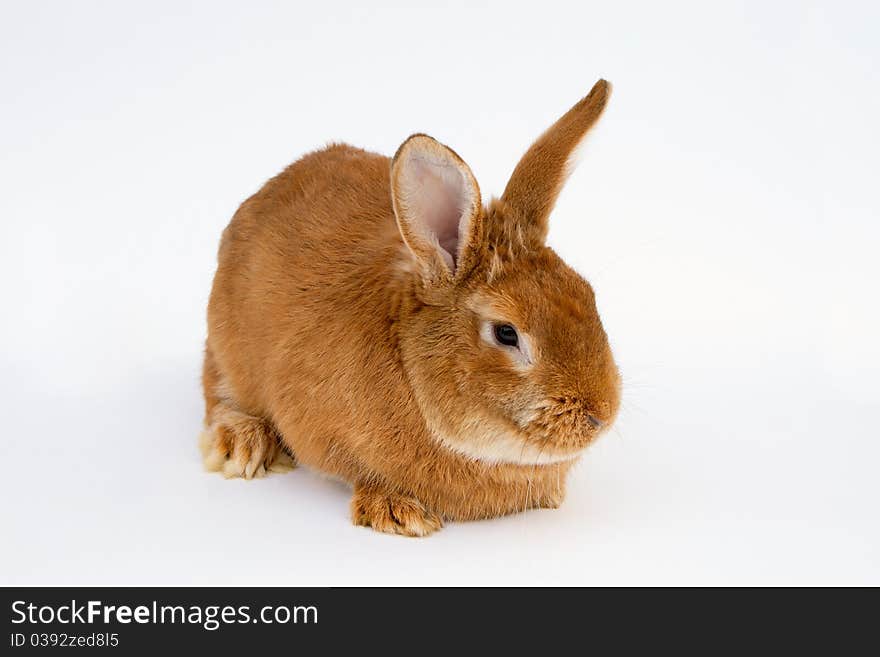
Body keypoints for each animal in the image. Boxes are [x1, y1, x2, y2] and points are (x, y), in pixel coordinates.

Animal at [201, 79, 620, 536]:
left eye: (588, 294)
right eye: (506, 333)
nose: (602, 416)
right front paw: (397, 512)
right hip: (227, 348)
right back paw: (241, 446)